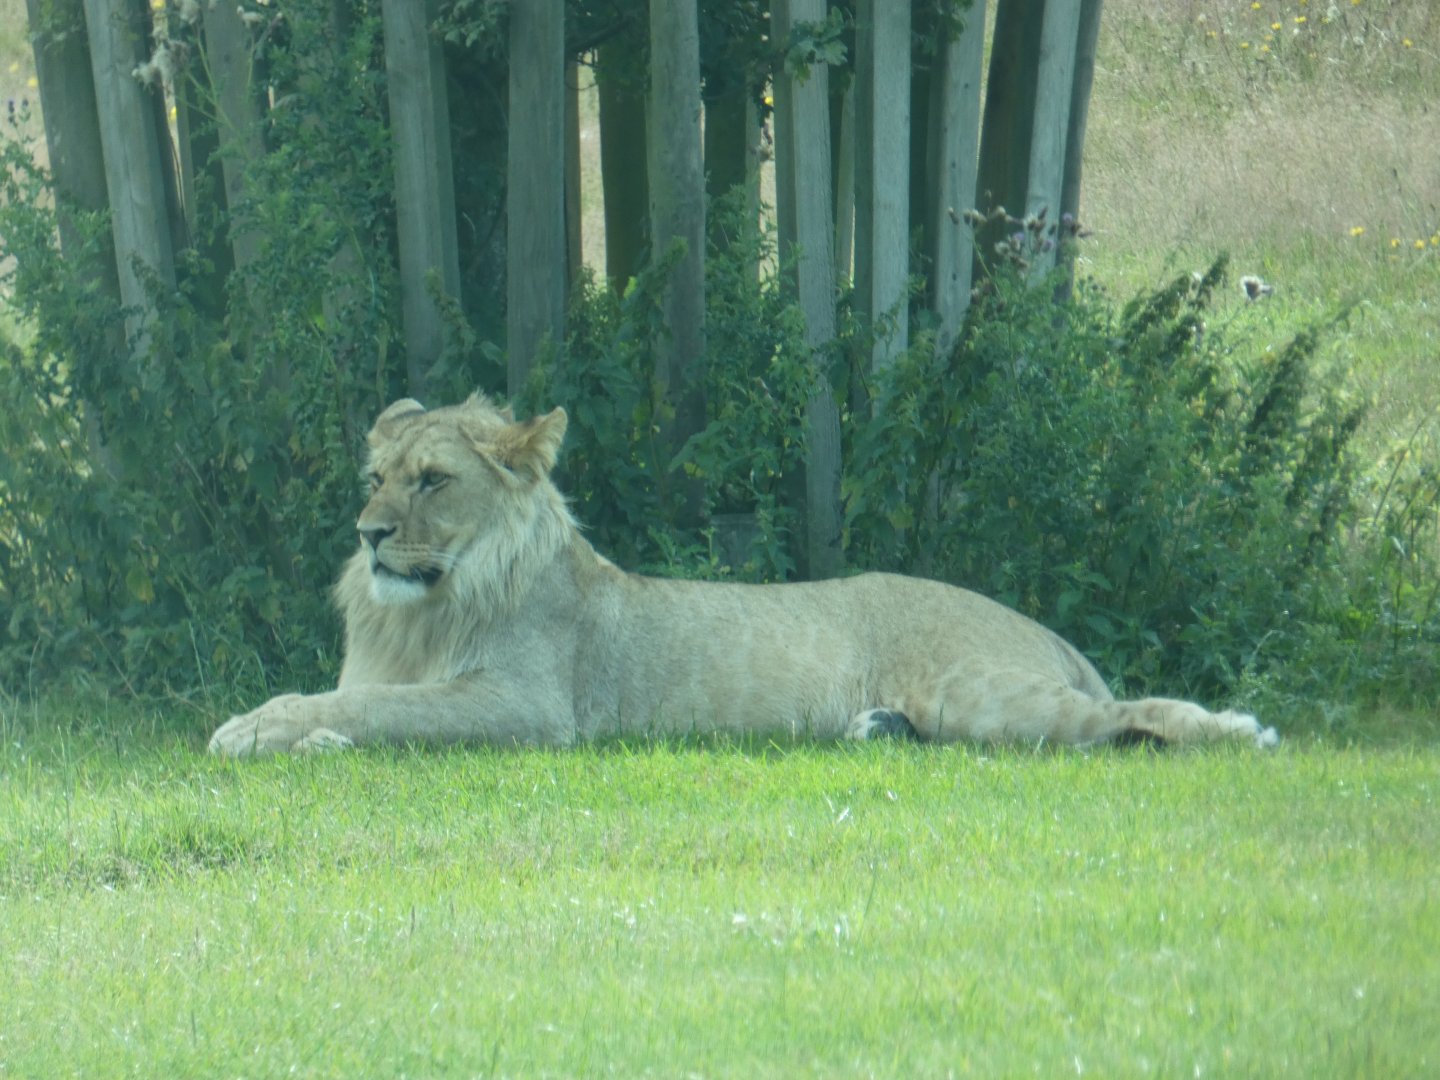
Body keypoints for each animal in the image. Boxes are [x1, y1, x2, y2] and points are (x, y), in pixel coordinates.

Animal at [208, 394, 1279, 756]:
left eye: (432, 480)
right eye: (375, 478)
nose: (369, 533)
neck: (424, 606)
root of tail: (1040, 626)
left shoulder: (525, 709)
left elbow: (374, 708)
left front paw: (253, 731)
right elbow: (348, 703)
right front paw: (291, 735)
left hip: (989, 693)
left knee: (1125, 715)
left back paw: (1241, 731)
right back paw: (877, 730)